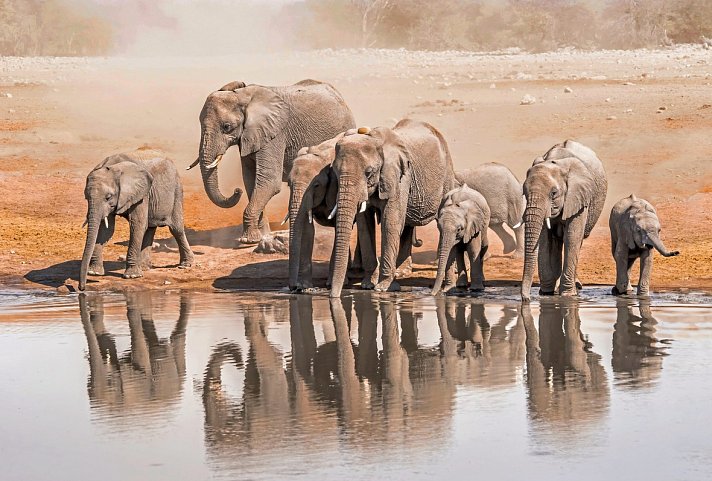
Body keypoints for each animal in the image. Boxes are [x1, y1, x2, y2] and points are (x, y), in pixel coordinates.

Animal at [78, 147, 192, 288]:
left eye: (108, 197)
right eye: (86, 197)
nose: (81, 288)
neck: (114, 167)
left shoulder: (142, 193)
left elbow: (137, 225)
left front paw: (131, 276)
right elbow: (106, 229)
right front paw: (94, 273)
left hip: (176, 190)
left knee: (176, 229)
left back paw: (185, 265)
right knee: (150, 228)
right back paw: (144, 267)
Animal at [189, 79, 356, 244]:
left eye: (226, 126)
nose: (236, 191)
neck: (243, 96)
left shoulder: (275, 135)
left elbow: (269, 182)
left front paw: (247, 241)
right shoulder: (251, 137)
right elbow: (251, 181)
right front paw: (259, 237)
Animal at [328, 119, 456, 296]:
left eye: (369, 172)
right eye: (335, 171)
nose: (333, 296)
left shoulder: (400, 176)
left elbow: (391, 222)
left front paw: (383, 288)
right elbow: (364, 226)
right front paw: (367, 285)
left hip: (447, 175)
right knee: (407, 224)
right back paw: (401, 272)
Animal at [520, 139, 608, 302]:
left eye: (554, 193)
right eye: (525, 192)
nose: (526, 299)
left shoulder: (579, 197)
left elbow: (572, 237)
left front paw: (568, 295)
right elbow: (544, 239)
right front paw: (546, 293)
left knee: (576, 241)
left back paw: (576, 286)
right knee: (556, 242)